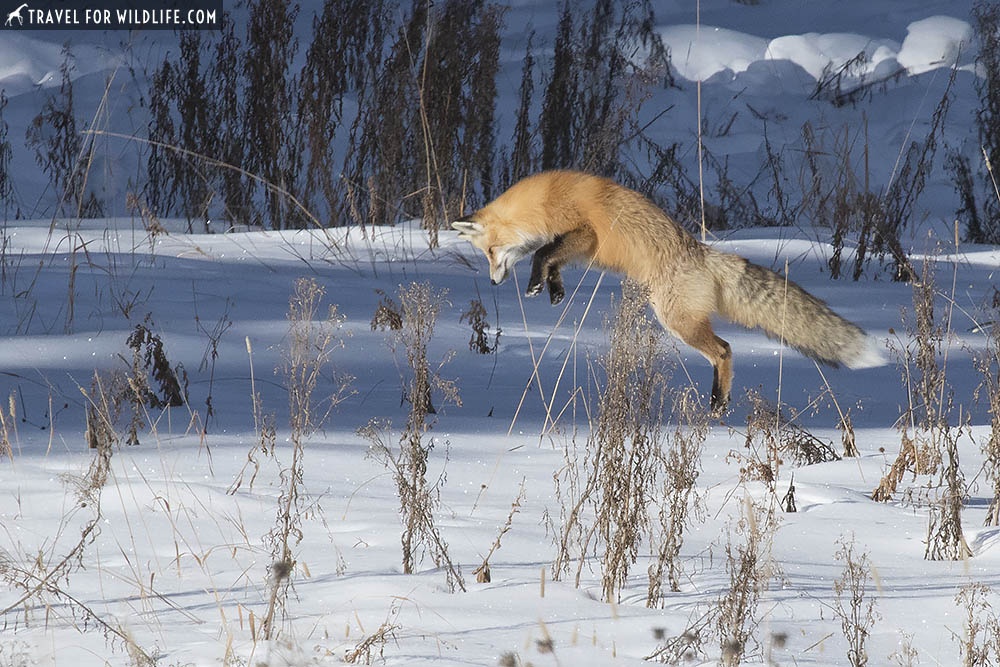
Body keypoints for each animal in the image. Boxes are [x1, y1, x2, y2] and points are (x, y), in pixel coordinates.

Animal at [454, 170, 884, 410]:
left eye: (490, 251)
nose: (493, 282)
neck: (543, 203)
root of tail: (703, 253)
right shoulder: (579, 247)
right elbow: (553, 259)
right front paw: (554, 290)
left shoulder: (586, 234)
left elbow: (544, 252)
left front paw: (536, 282)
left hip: (676, 320)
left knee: (725, 350)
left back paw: (718, 402)